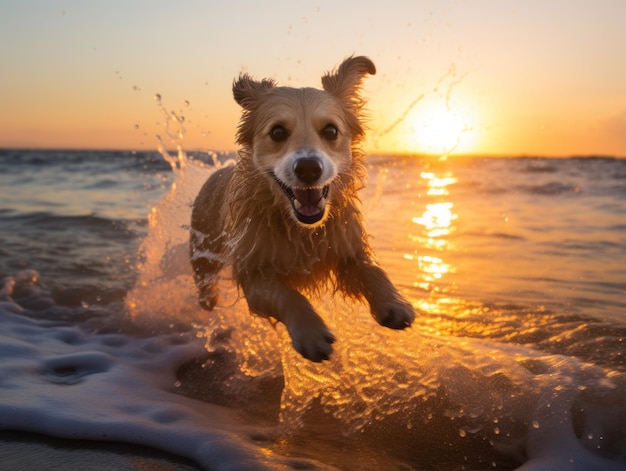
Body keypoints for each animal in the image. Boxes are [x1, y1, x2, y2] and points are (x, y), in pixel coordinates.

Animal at [189, 57, 414, 364]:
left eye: (331, 130)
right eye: (277, 132)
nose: (308, 168)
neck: (301, 229)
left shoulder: (348, 247)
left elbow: (372, 270)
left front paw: (393, 302)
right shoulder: (253, 274)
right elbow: (288, 296)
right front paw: (310, 332)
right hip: (203, 246)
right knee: (204, 276)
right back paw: (208, 299)